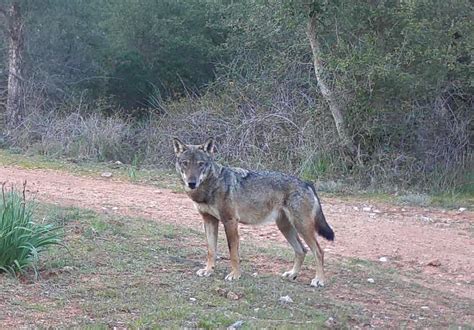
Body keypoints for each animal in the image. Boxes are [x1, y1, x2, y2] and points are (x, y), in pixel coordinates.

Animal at [172, 137, 336, 286]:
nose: (191, 183)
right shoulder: (209, 221)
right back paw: (293, 274)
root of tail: (307, 183)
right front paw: (208, 270)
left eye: (201, 164)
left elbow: (233, 253)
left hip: (302, 227)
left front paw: (235, 275)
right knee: (302, 250)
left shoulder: (230, 221)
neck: (211, 186)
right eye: (185, 163)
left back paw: (319, 280)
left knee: (319, 251)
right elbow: (211, 250)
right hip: (286, 228)